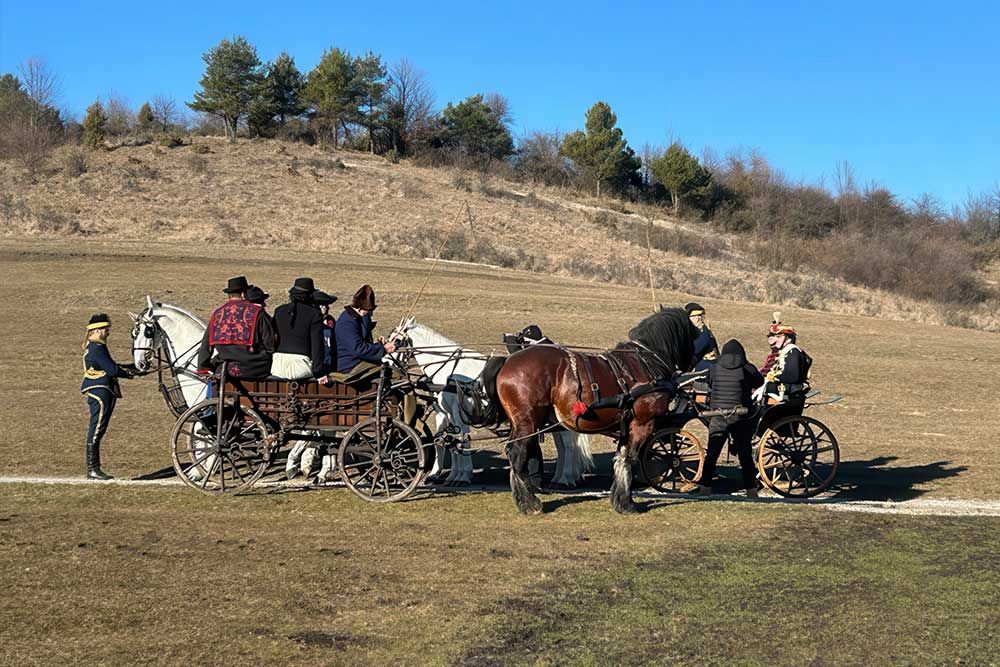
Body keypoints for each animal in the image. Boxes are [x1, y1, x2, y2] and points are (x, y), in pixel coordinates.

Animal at [390, 316, 592, 488]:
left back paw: (564, 479)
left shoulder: (459, 414)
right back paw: (562, 477)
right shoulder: (444, 413)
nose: (387, 362)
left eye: (396, 341)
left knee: (568, 445)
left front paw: (461, 476)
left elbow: (462, 442)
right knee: (563, 446)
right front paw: (440, 474)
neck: (450, 370)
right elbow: (445, 442)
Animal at [492, 308, 696, 516]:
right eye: (693, 333)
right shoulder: (643, 423)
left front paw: (619, 499)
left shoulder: (627, 425)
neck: (645, 362)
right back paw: (530, 503)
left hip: (521, 423)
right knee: (517, 454)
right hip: (528, 422)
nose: (692, 364)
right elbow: (630, 459)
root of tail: (507, 363)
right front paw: (627, 504)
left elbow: (620, 458)